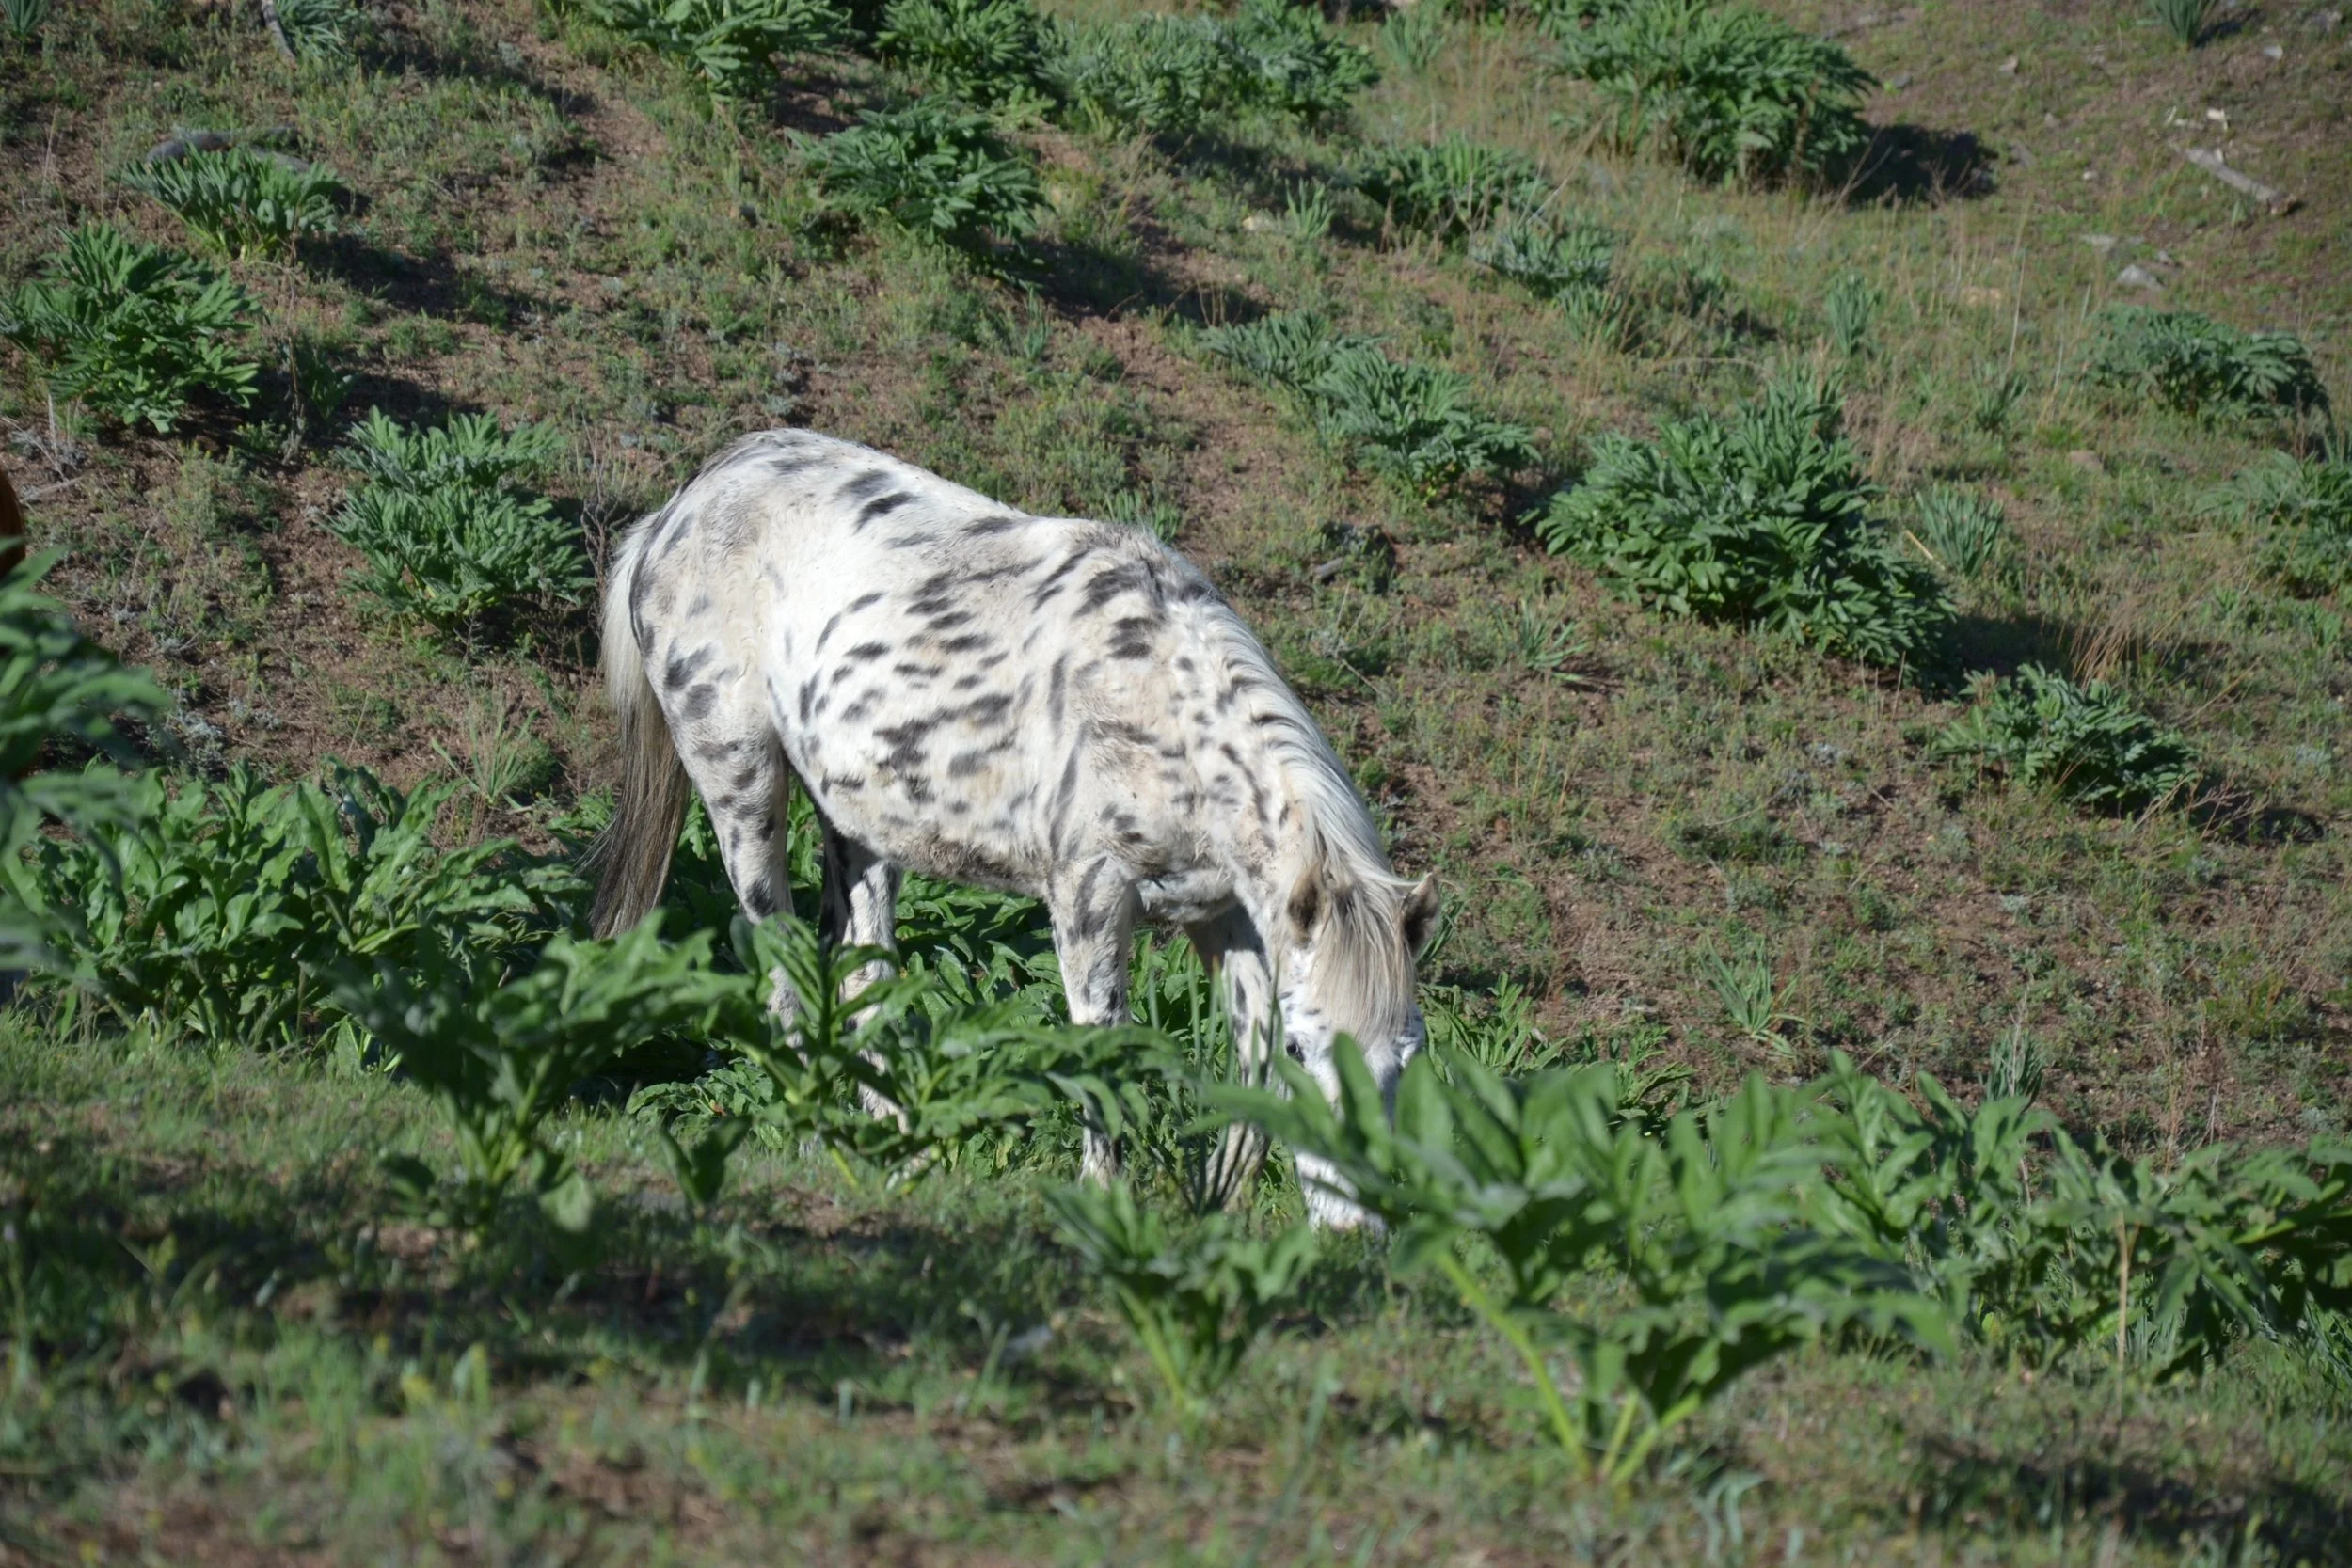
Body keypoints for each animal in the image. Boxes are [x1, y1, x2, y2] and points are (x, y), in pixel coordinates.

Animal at [588, 429, 1438, 1226]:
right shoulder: (1090, 896)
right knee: (783, 962)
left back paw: (889, 1144)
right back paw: (814, 1131)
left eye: (1407, 1051)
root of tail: (680, 507)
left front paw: (1216, 1207)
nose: (1357, 1226)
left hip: (859, 828)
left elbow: (1248, 1061)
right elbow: (1104, 1046)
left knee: (860, 969)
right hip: (743, 788)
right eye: (1307, 1047)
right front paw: (1105, 1195)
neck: (1158, 704)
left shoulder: (1226, 914)